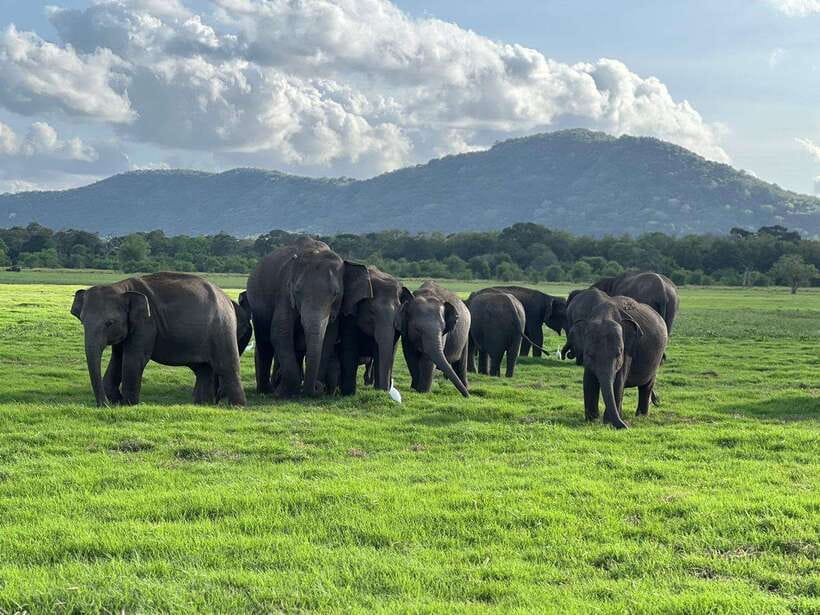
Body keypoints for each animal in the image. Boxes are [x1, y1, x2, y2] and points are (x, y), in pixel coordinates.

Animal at [70, 272, 246, 407]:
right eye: (83, 321)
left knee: (227, 366)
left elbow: (134, 358)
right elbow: (118, 358)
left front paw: (128, 404)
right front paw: (116, 400)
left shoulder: (147, 323)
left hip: (222, 329)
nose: (103, 405)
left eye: (109, 323)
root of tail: (228, 300)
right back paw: (201, 404)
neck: (122, 288)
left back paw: (237, 407)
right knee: (203, 370)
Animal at [245, 237, 372, 397]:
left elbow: (329, 337)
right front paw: (285, 392)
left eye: (336, 294)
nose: (317, 387)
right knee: (265, 343)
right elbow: (280, 333)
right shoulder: (284, 293)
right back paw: (267, 390)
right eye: (297, 291)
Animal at [338, 266, 413, 395]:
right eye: (372, 311)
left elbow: (382, 351)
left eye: (400, 310)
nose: (385, 390)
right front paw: (348, 393)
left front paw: (379, 389)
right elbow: (350, 347)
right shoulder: (349, 314)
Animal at [564, 288, 667, 429]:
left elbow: (619, 381)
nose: (627, 426)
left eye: (619, 353)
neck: (604, 314)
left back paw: (641, 416)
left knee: (647, 385)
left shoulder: (628, 348)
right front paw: (592, 420)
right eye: (589, 354)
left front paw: (608, 422)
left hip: (657, 358)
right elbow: (588, 380)